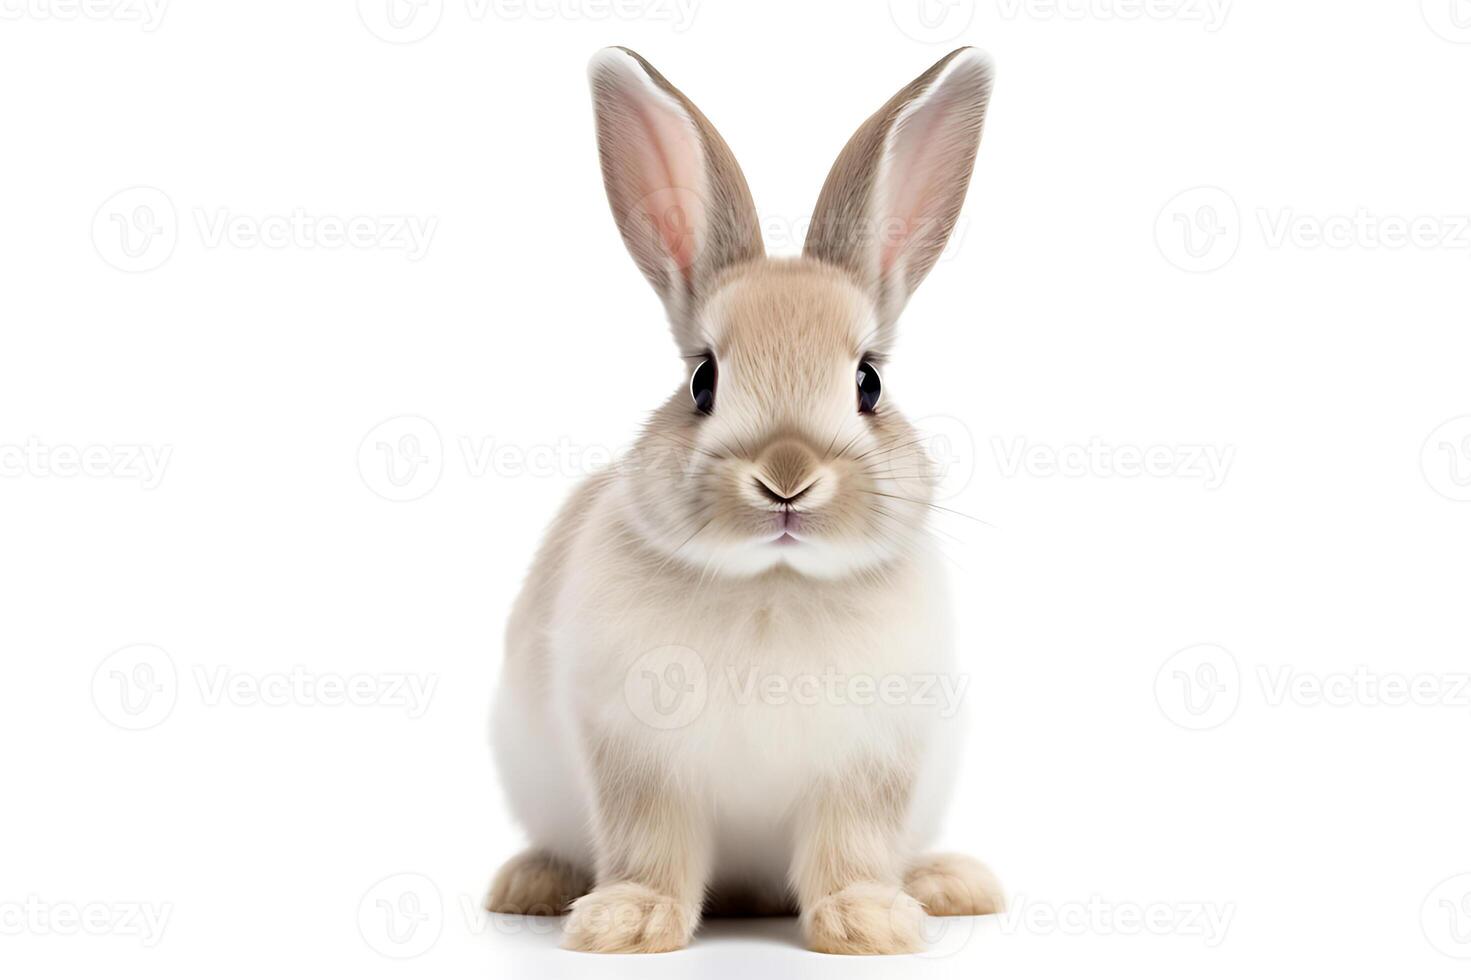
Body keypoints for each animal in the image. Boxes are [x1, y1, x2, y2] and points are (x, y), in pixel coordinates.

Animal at [482, 41, 1000, 947]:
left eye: (867, 383)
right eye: (703, 379)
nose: (785, 477)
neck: (772, 584)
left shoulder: (869, 767)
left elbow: (851, 847)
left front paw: (869, 923)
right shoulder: (638, 759)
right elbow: (650, 844)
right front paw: (627, 923)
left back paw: (949, 882)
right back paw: (532, 883)